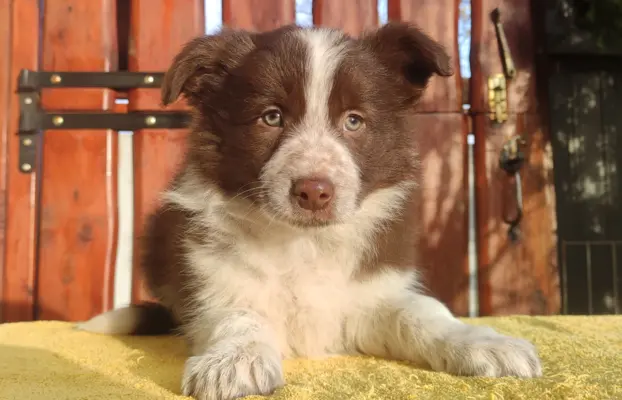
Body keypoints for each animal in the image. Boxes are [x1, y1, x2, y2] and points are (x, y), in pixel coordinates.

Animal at [80, 22, 544, 400]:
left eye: (354, 121)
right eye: (271, 117)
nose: (314, 192)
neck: (304, 242)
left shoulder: (369, 293)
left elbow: (422, 312)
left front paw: (485, 343)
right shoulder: (211, 279)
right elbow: (237, 313)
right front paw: (235, 361)